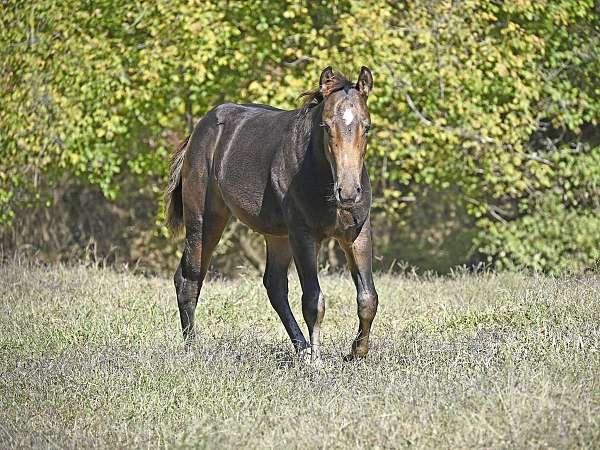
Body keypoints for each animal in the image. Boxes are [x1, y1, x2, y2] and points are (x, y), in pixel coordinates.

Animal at [166, 67, 378, 362]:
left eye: (366, 127)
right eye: (325, 126)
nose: (347, 192)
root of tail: (199, 129)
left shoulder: (357, 233)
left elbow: (368, 298)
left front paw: (356, 352)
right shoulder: (303, 236)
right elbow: (313, 300)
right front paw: (317, 361)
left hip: (278, 236)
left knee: (274, 286)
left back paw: (301, 348)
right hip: (204, 222)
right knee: (189, 278)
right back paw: (192, 347)